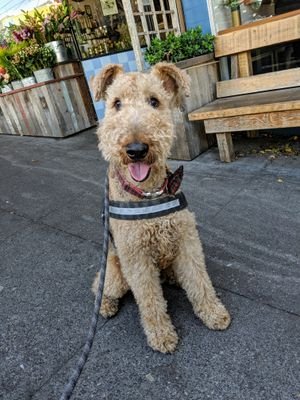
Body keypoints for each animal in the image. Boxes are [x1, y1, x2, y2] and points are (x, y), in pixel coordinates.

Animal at [90, 63, 231, 354]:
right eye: (116, 104)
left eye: (154, 101)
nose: (136, 149)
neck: (149, 193)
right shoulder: (136, 258)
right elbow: (150, 299)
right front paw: (162, 335)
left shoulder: (187, 242)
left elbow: (199, 281)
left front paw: (213, 314)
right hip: (115, 273)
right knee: (99, 284)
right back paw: (106, 305)